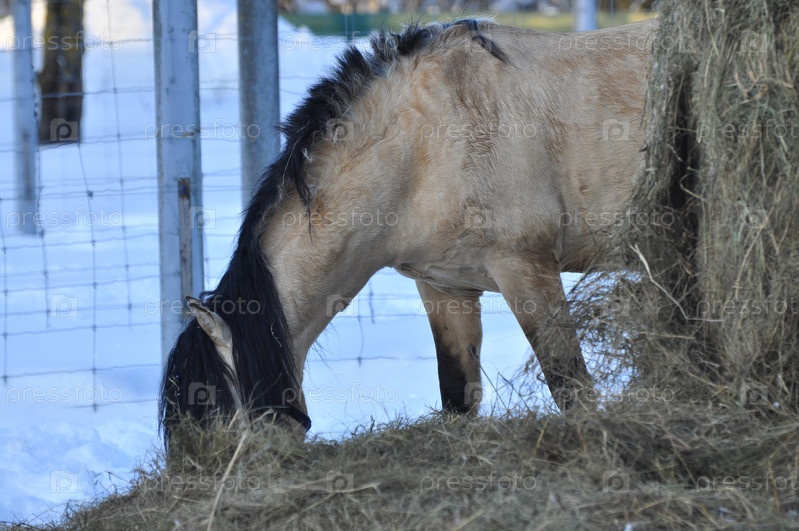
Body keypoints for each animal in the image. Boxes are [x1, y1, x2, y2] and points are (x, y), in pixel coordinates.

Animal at [160, 18, 656, 443]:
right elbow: (458, 398)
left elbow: (571, 385)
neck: (426, 144)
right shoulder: (445, 288)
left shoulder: (526, 270)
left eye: (219, 423)